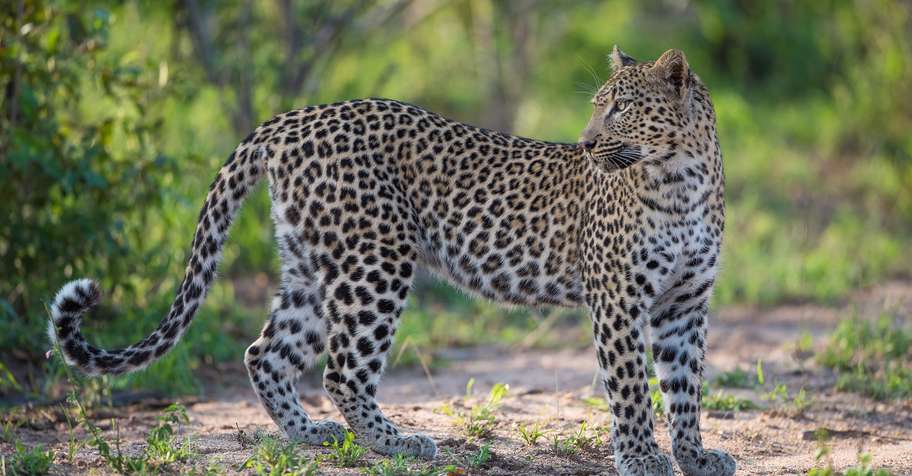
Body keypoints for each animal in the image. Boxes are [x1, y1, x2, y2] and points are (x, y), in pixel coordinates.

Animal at [48, 47, 734, 476]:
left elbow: (685, 387)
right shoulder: (618, 297)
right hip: (375, 262)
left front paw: (696, 456)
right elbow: (632, 388)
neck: (682, 179)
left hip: (312, 266)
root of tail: (292, 118)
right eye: (598, 105)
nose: (587, 144)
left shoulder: (685, 304)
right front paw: (642, 458)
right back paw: (395, 442)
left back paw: (312, 435)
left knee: (265, 351)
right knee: (342, 372)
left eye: (622, 108)